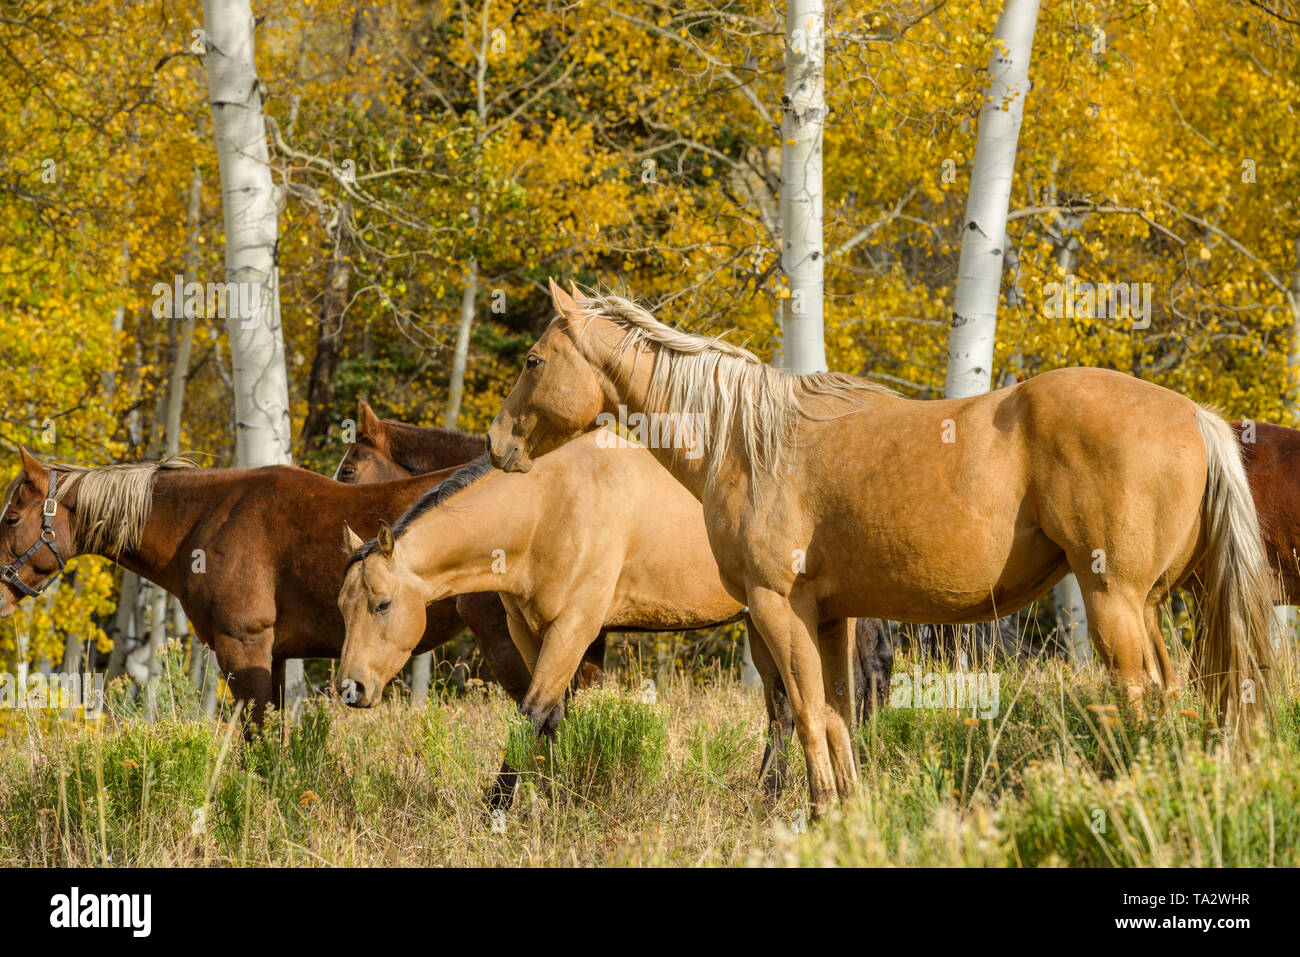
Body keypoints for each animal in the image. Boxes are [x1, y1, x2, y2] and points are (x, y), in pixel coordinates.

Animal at [335, 430, 895, 803]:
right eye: (343, 606)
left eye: (382, 604)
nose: (349, 689)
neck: (546, 508)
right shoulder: (530, 631)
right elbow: (554, 716)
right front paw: (552, 797)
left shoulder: (576, 628)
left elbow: (531, 714)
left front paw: (497, 811)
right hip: (760, 621)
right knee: (783, 710)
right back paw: (766, 797)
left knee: (836, 696)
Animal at [485, 281, 1274, 816]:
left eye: (532, 359)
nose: (497, 445)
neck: (747, 440)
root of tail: (1194, 415)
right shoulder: (830, 618)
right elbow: (837, 717)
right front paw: (843, 813)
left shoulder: (777, 608)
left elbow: (806, 716)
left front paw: (815, 818)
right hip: (1148, 605)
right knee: (1173, 692)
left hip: (1115, 602)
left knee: (1141, 696)